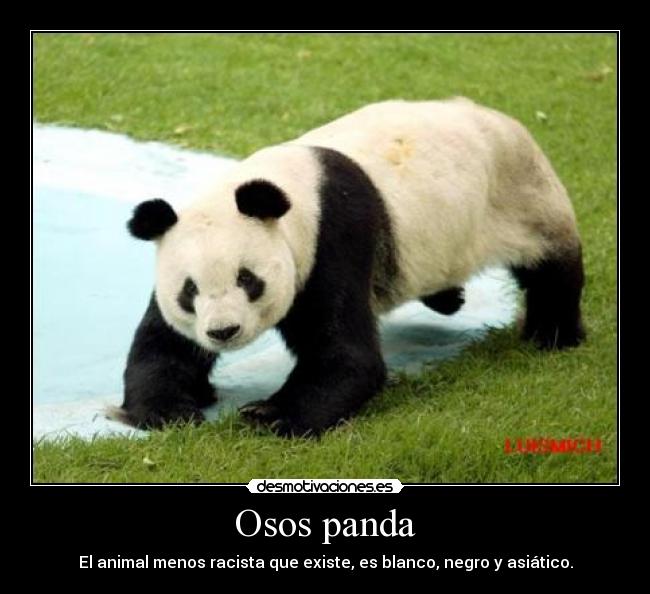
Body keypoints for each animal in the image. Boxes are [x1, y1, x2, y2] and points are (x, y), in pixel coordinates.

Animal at [119, 97, 585, 436]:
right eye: (189, 291)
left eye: (248, 279)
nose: (223, 332)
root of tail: (493, 114)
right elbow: (165, 344)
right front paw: (170, 411)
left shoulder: (333, 240)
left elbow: (346, 355)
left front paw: (269, 415)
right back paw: (448, 297)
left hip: (521, 194)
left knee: (552, 267)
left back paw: (552, 334)